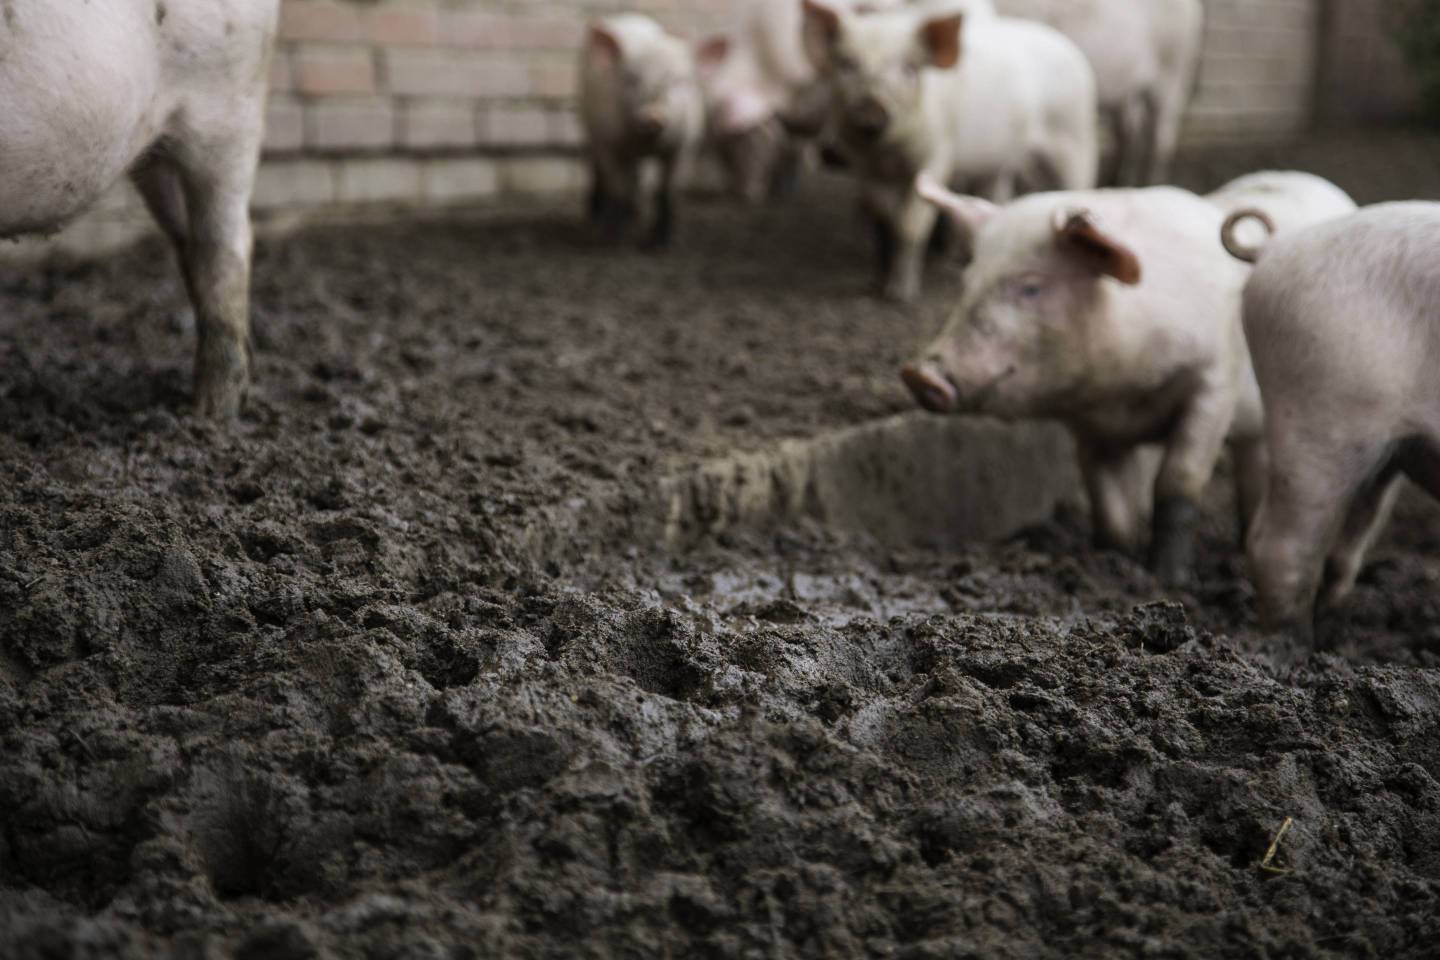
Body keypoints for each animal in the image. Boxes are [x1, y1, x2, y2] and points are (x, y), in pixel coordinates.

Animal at [580, 15, 706, 249]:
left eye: (678, 82)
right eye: (631, 80)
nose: (653, 115)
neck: (645, 142)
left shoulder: (686, 145)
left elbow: (668, 190)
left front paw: (665, 244)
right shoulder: (608, 142)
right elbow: (618, 189)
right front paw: (614, 242)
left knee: (640, 180)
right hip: (590, 129)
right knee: (599, 171)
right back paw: (596, 226)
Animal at [802, 1, 1100, 302]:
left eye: (909, 68)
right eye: (847, 64)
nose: (870, 113)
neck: (890, 155)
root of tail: (1070, 48)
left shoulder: (937, 153)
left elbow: (911, 224)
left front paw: (901, 295)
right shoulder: (865, 166)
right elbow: (885, 215)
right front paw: (880, 285)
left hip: (1074, 136)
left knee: (1079, 184)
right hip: (1000, 161)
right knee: (996, 195)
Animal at [900, 171, 1355, 584]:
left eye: (1031, 287)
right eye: (966, 283)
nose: (920, 374)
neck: (1122, 390)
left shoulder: (1214, 381)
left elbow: (1178, 482)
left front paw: (1167, 581)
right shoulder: (1089, 425)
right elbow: (1105, 497)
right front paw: (1111, 561)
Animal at [1222, 202, 1440, 643]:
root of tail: (1274, 247)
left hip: (1384, 449)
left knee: (1342, 547)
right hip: (1318, 411)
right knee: (1279, 547)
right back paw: (1290, 647)